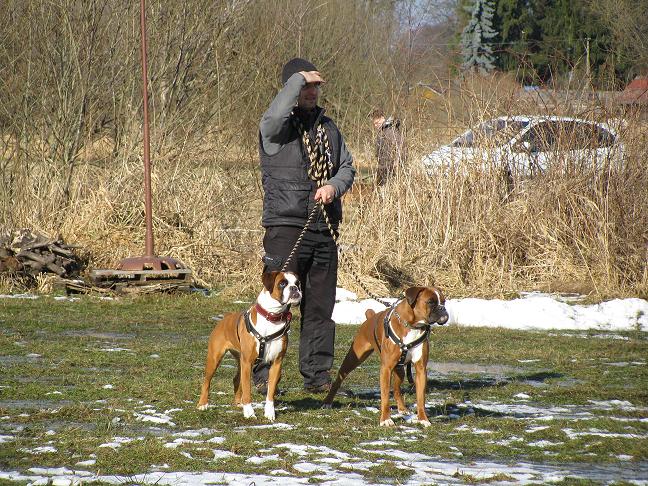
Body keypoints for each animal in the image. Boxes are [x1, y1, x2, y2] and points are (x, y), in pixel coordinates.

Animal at [197, 272, 302, 420]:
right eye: (282, 283)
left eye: (298, 283)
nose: (294, 289)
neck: (272, 317)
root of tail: (225, 318)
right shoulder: (247, 362)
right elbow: (247, 390)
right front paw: (249, 412)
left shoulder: (276, 363)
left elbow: (270, 393)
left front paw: (269, 413)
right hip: (215, 359)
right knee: (207, 381)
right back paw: (202, 404)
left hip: (240, 361)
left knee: (236, 379)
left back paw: (238, 403)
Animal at [322, 286, 448, 428]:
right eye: (431, 302)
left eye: (444, 302)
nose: (443, 309)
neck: (412, 325)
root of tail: (371, 316)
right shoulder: (386, 369)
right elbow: (385, 397)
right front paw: (385, 419)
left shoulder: (421, 370)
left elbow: (421, 398)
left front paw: (423, 419)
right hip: (353, 359)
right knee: (338, 379)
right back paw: (327, 402)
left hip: (400, 370)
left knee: (397, 389)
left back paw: (402, 409)